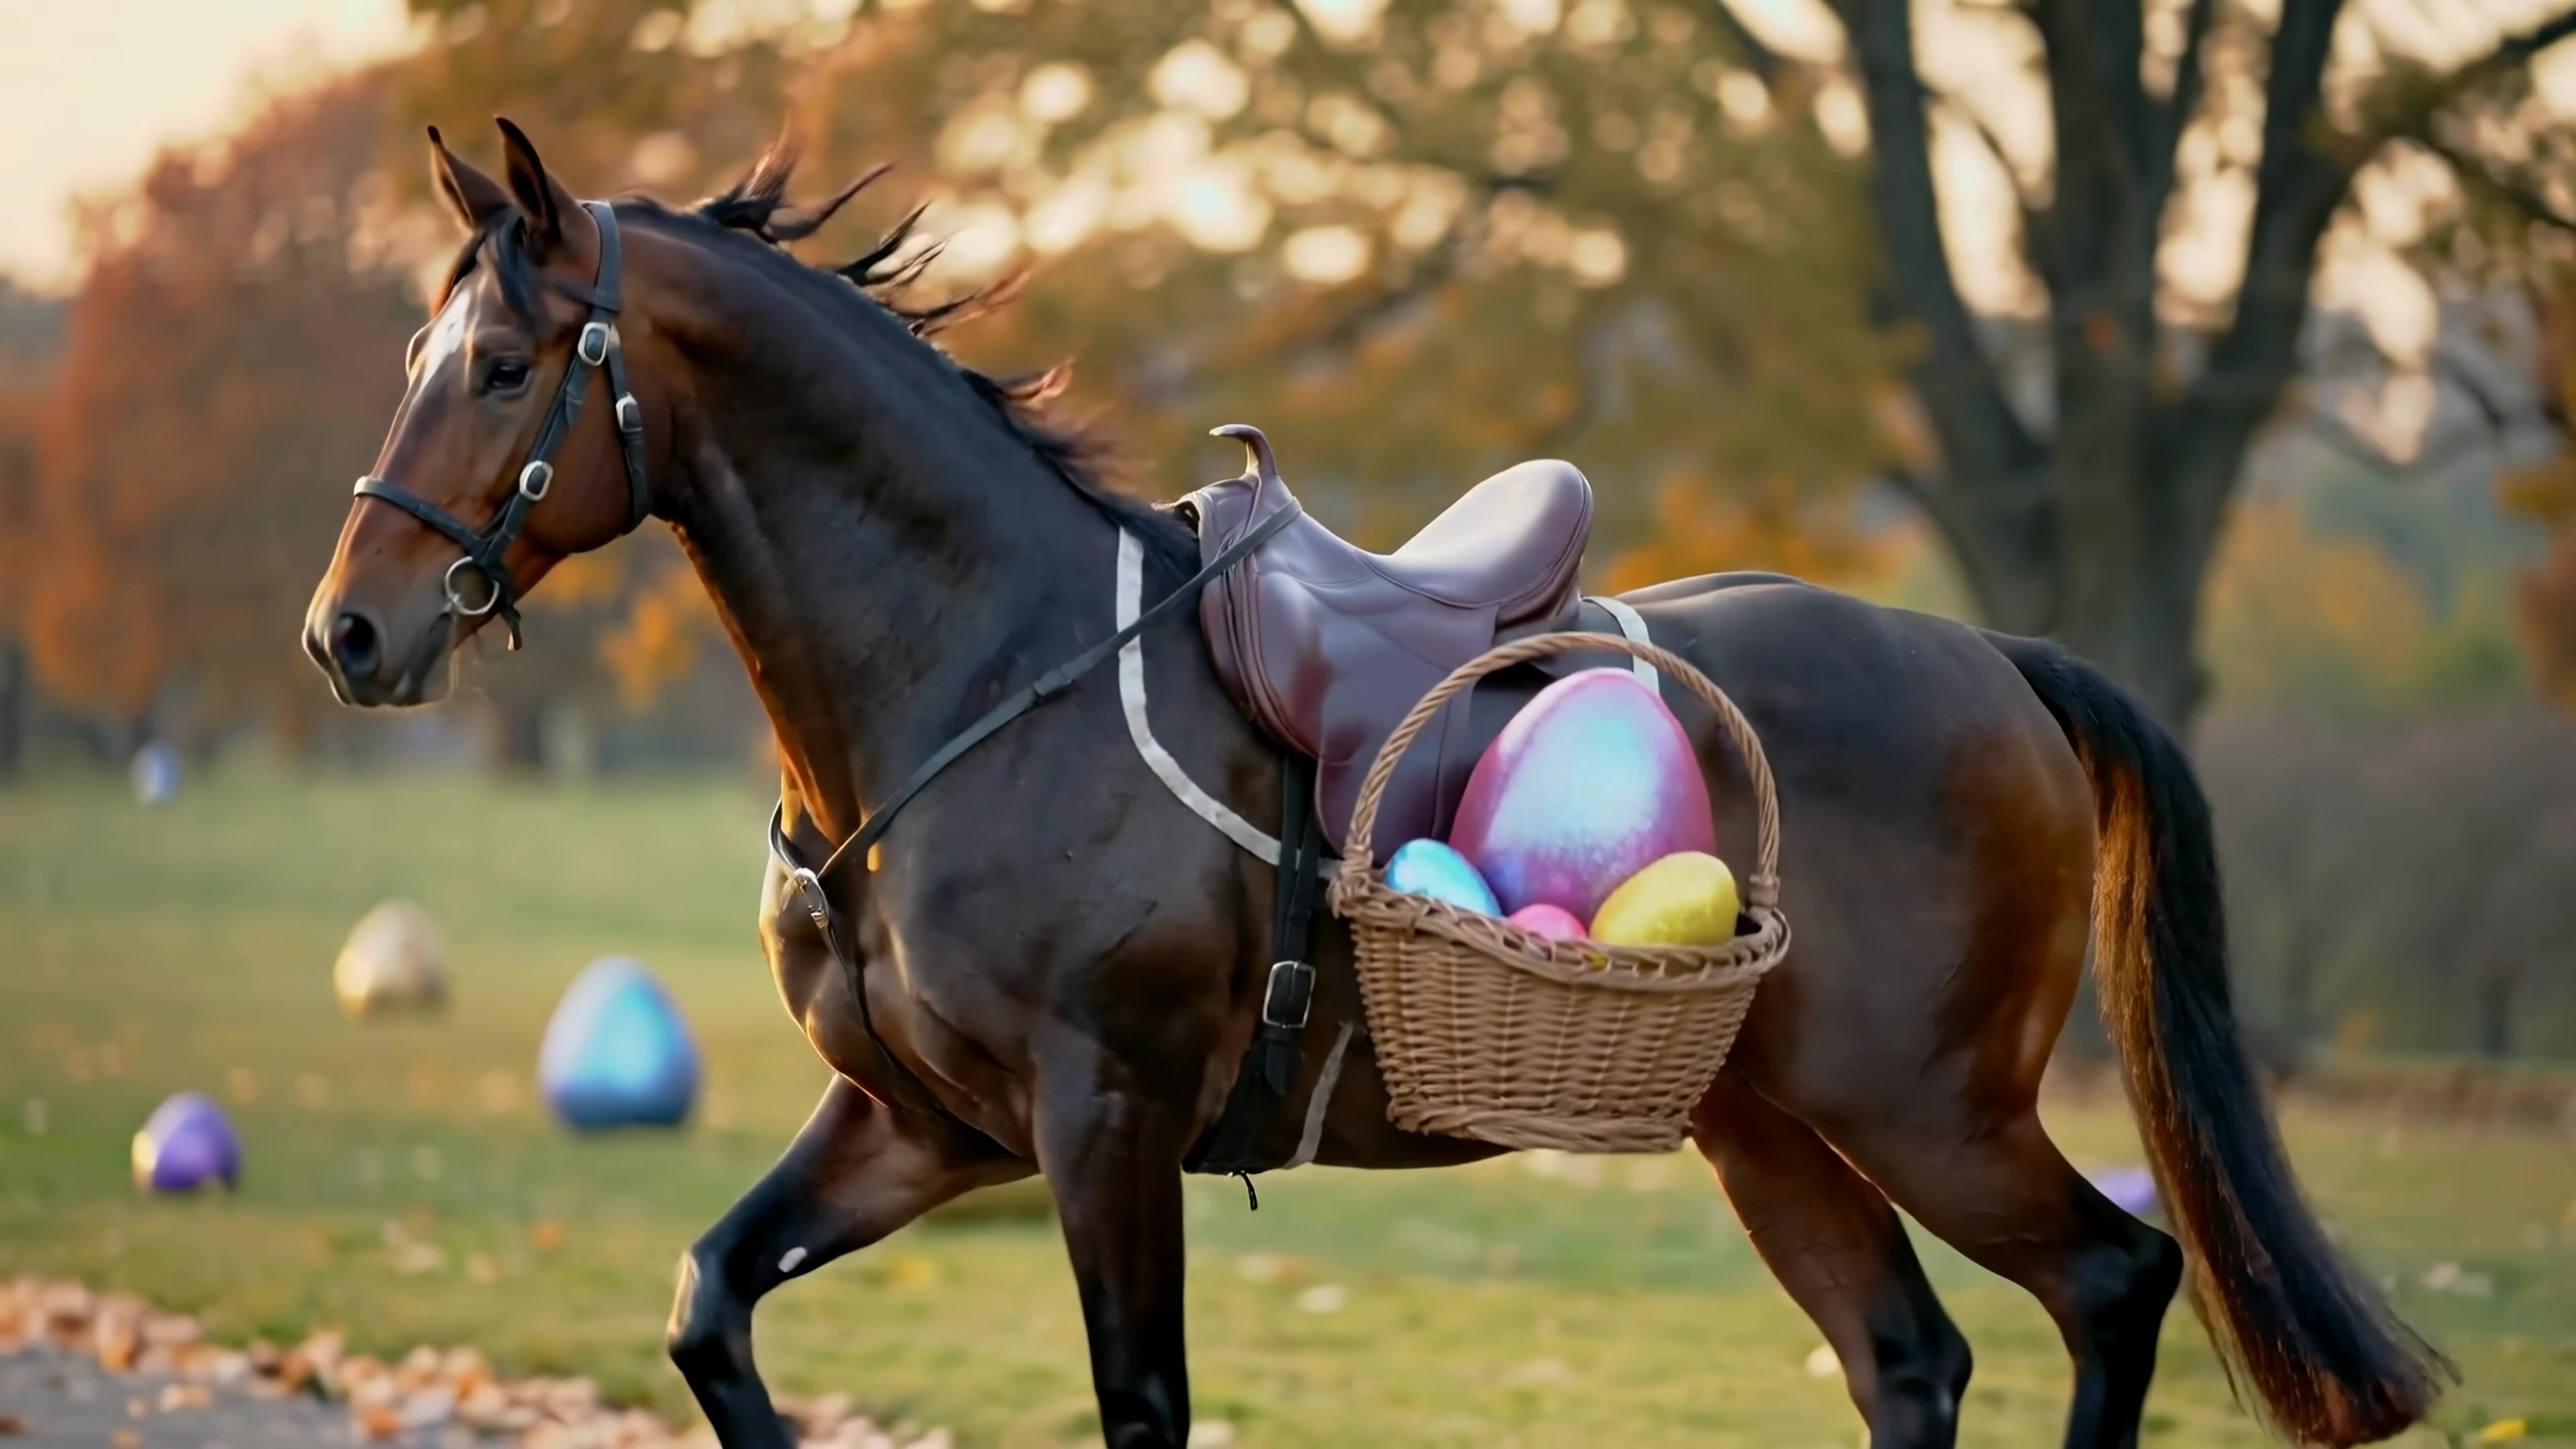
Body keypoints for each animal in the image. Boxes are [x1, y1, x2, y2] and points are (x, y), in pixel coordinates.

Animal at [301, 122, 2446, 1449]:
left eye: (501, 365)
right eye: (412, 346)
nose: (349, 632)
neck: (977, 670)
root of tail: (1991, 656)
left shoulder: (1097, 1127)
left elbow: (1140, 1403)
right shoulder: (921, 1126)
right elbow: (707, 1302)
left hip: (1926, 1108)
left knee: (2114, 1279)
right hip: (1766, 1124)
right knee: (1910, 1361)